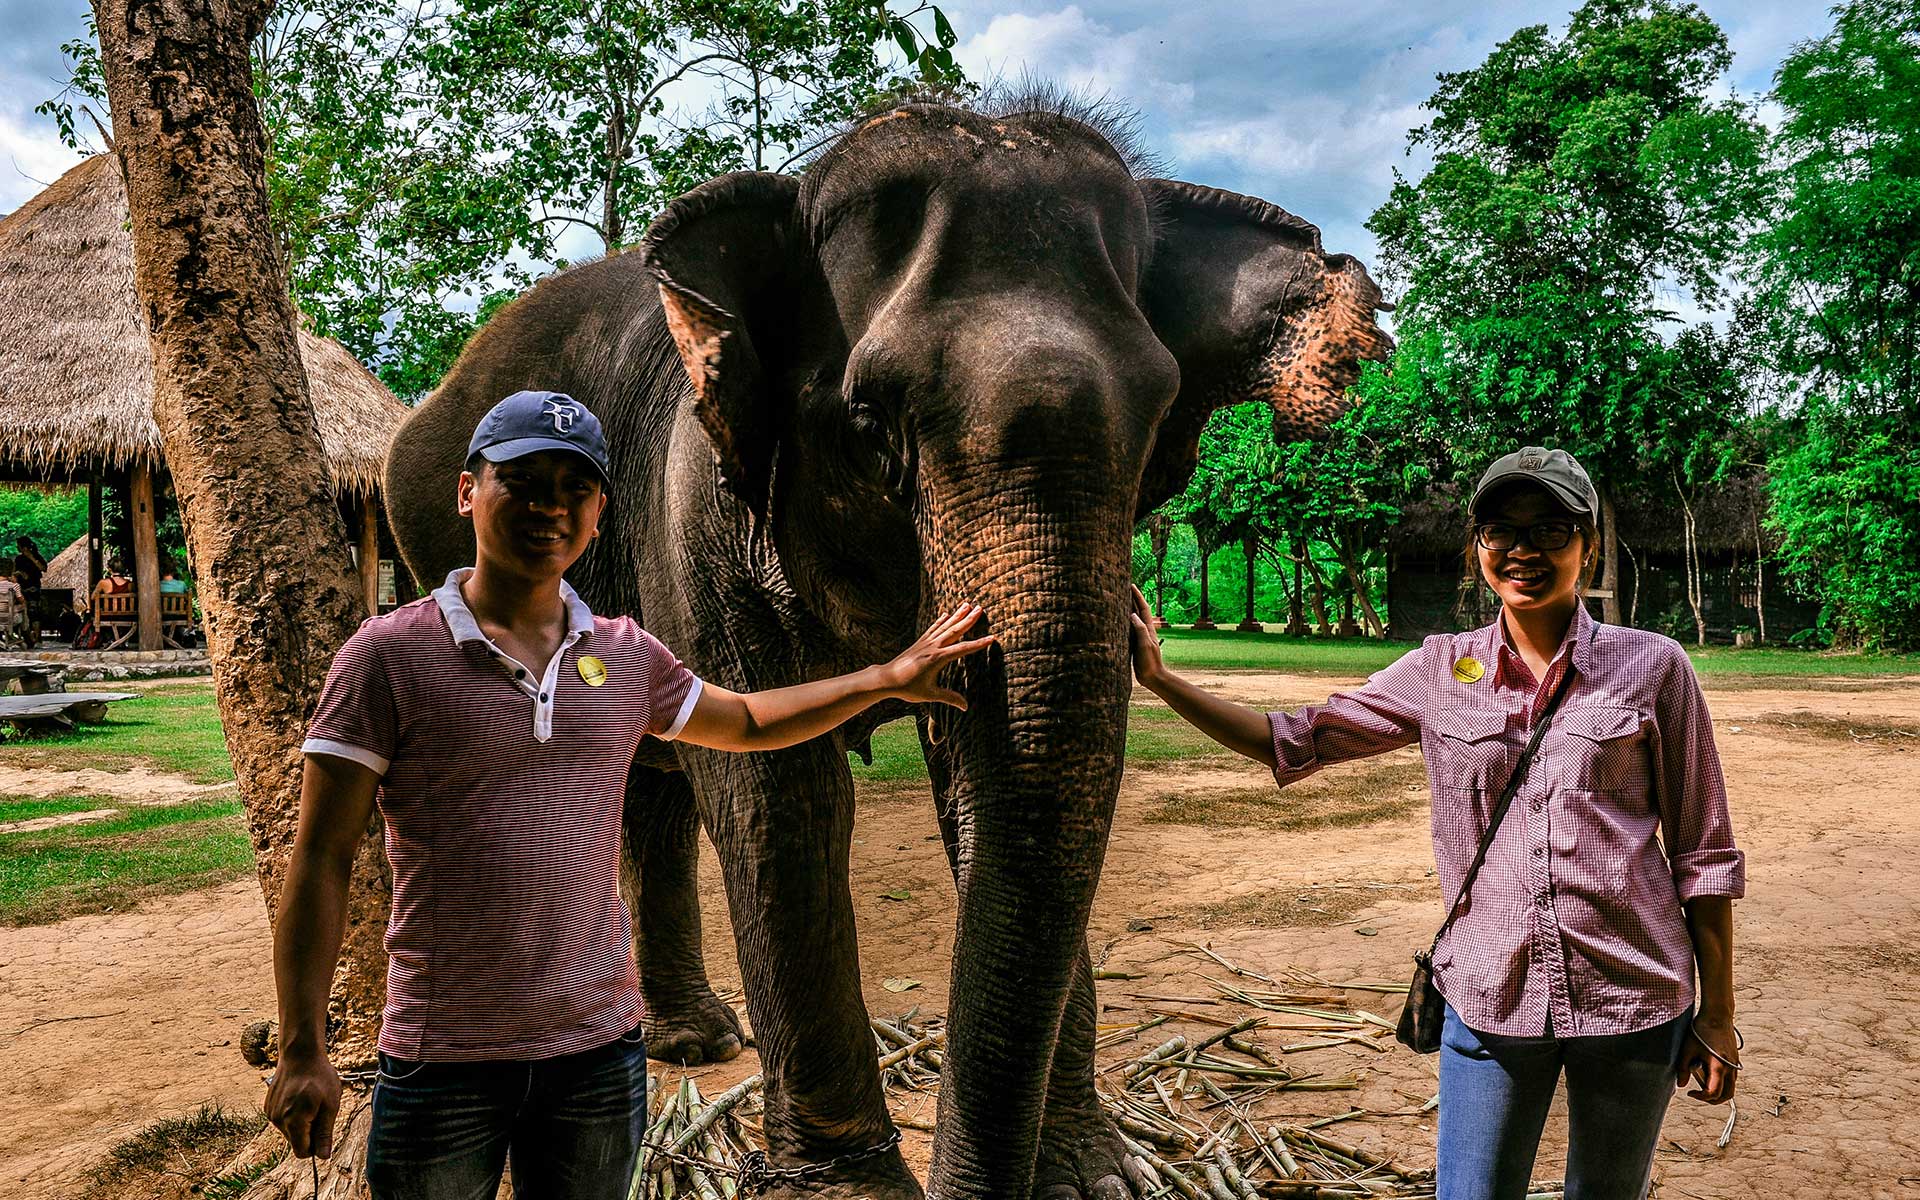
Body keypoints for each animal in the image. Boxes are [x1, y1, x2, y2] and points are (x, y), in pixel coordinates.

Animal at [378, 88, 1397, 1190]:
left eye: (1163, 411)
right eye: (870, 421)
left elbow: (977, 784)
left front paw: (1094, 1174)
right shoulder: (694, 499)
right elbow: (781, 797)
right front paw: (852, 1189)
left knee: (648, 778)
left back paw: (692, 1037)